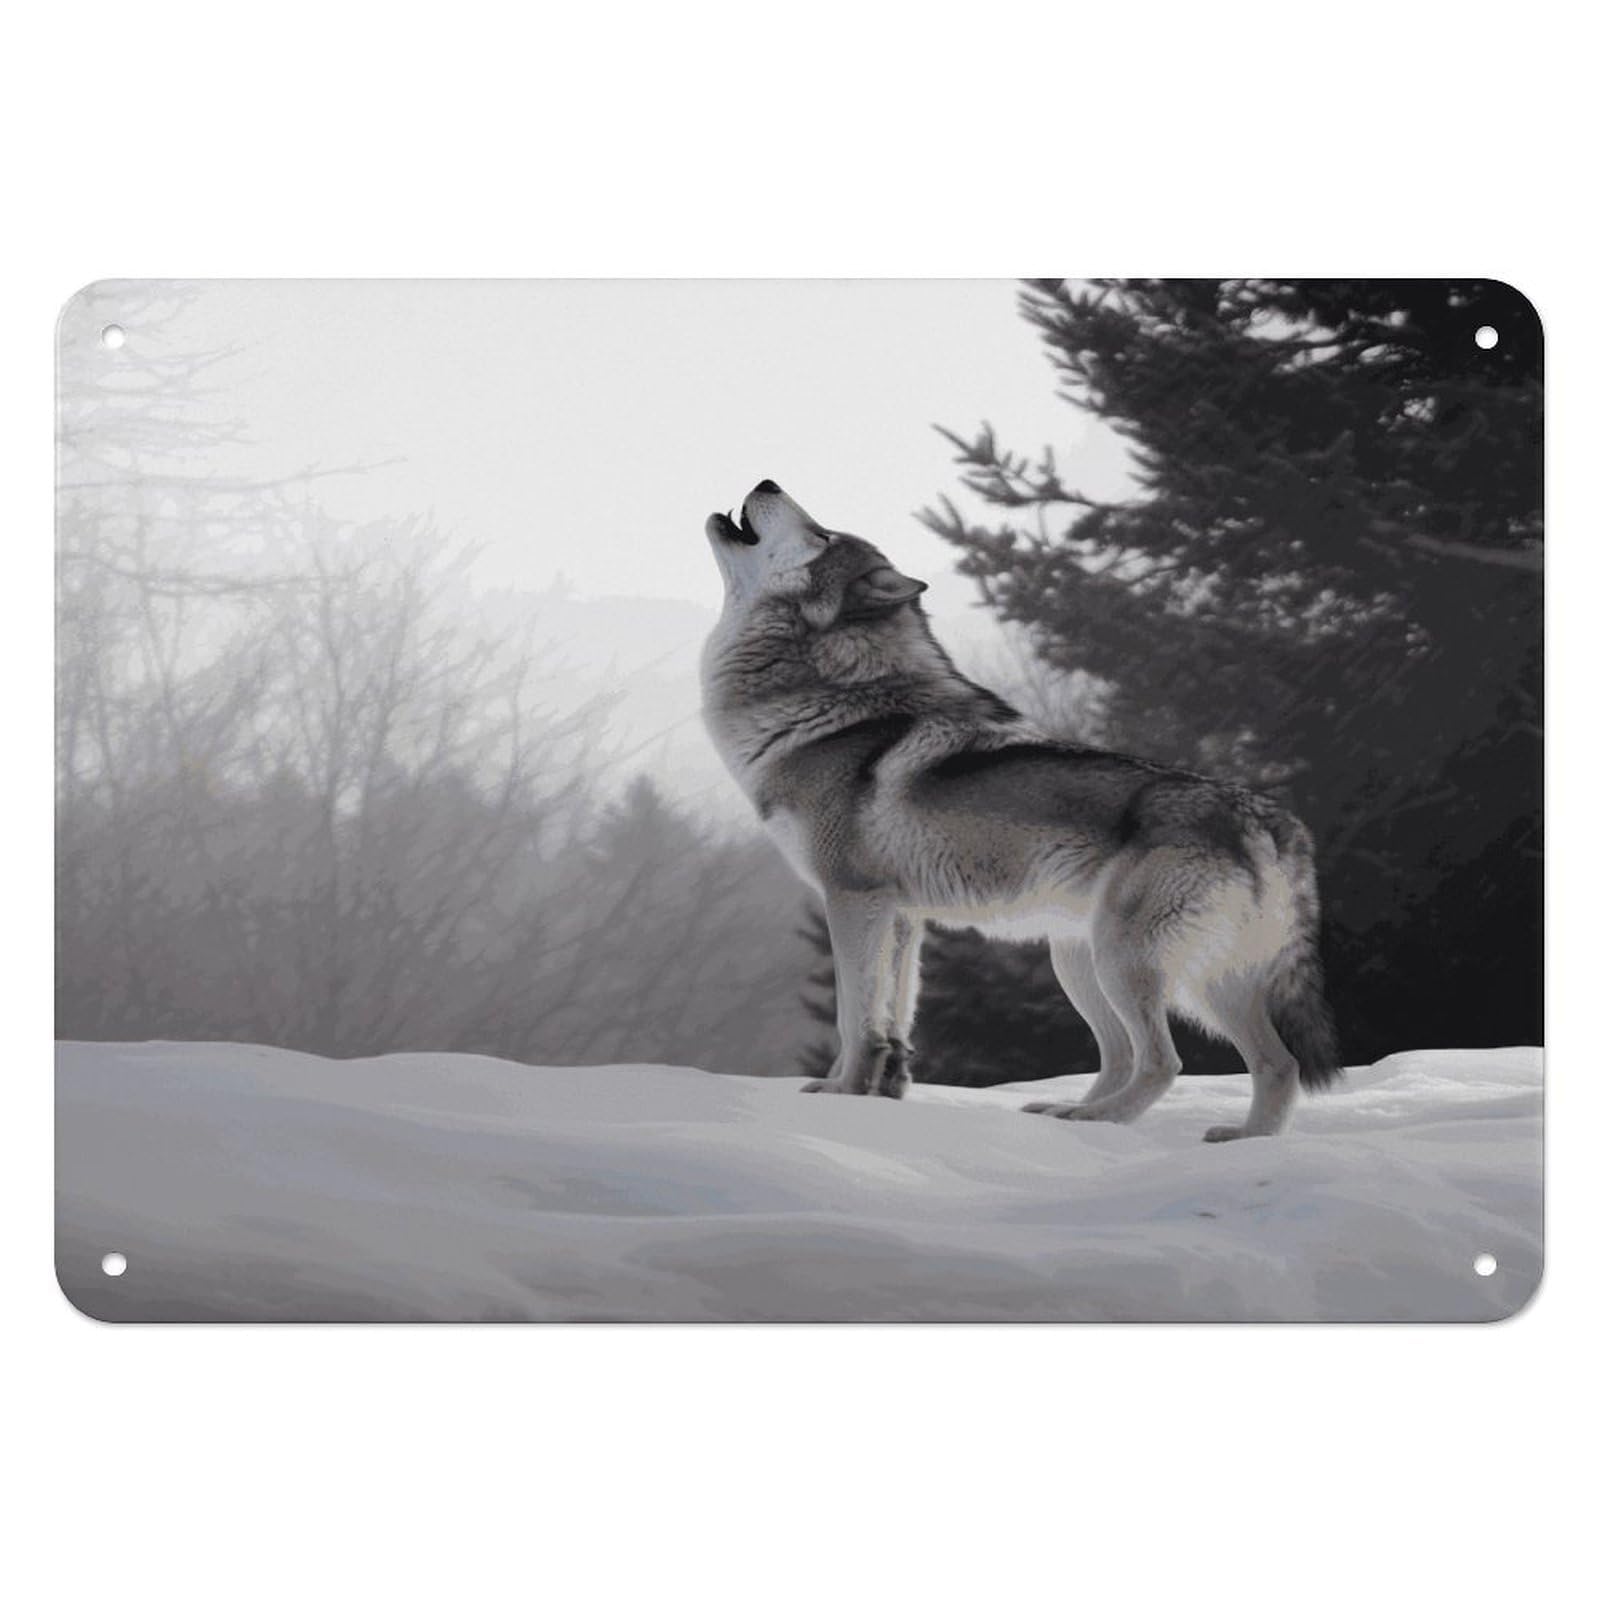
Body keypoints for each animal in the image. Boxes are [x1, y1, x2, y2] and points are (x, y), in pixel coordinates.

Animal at [702, 481, 1342, 1139]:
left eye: (821, 534)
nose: (767, 483)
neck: (834, 700)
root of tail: (1268, 818)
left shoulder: (853, 901)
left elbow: (855, 1017)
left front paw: (841, 1096)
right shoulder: (902, 916)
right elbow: (892, 1018)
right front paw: (879, 1093)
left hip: (1128, 964)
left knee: (1163, 1062)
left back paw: (1097, 1120)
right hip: (1115, 967)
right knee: (1266, 1063)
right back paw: (1221, 1137)